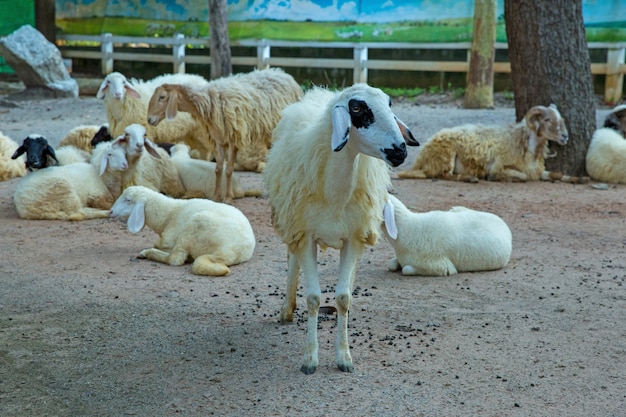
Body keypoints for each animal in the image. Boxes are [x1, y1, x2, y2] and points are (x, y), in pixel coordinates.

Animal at [108, 185, 255, 276]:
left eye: (128, 200)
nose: (111, 211)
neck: (168, 213)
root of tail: (229, 254)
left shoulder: (169, 239)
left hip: (194, 227)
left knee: (175, 259)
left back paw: (147, 253)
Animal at [260, 84, 416, 374]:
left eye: (389, 104)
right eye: (357, 108)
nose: (400, 150)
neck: (335, 191)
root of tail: (323, 92)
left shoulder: (353, 238)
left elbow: (343, 298)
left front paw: (344, 356)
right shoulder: (305, 235)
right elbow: (313, 298)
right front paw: (310, 359)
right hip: (291, 220)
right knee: (292, 261)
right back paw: (287, 309)